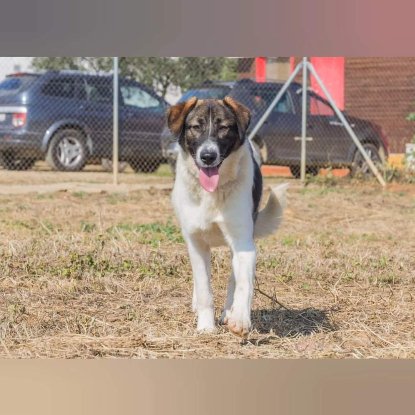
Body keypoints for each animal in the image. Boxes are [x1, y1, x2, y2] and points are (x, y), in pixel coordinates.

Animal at [166, 96, 288, 337]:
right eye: (195, 127)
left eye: (223, 128)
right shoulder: (196, 242)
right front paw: (205, 326)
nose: (208, 156)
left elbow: (243, 283)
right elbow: (204, 288)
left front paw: (239, 318)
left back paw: (228, 312)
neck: (212, 192)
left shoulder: (244, 243)